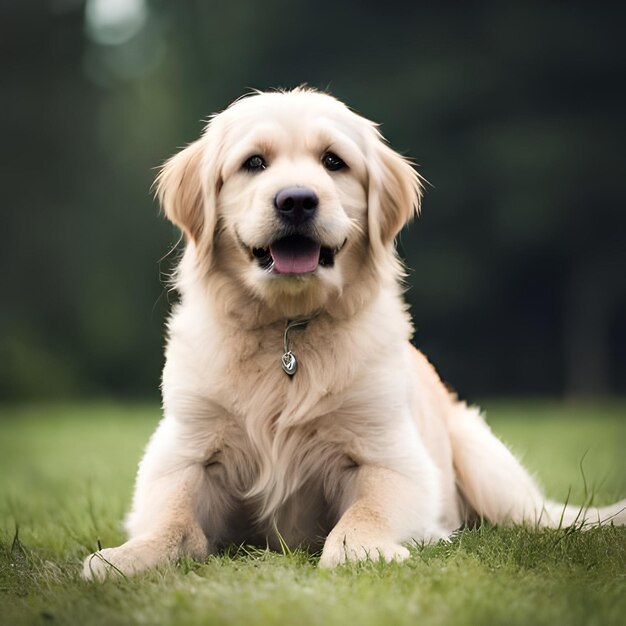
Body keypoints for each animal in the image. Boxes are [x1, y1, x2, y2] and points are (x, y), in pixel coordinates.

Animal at [83, 85, 624, 576]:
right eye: (254, 163)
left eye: (333, 162)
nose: (296, 200)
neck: (287, 334)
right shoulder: (185, 450)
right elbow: (172, 521)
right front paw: (125, 558)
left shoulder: (391, 457)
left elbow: (364, 514)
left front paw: (363, 551)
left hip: (482, 458)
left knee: (538, 517)